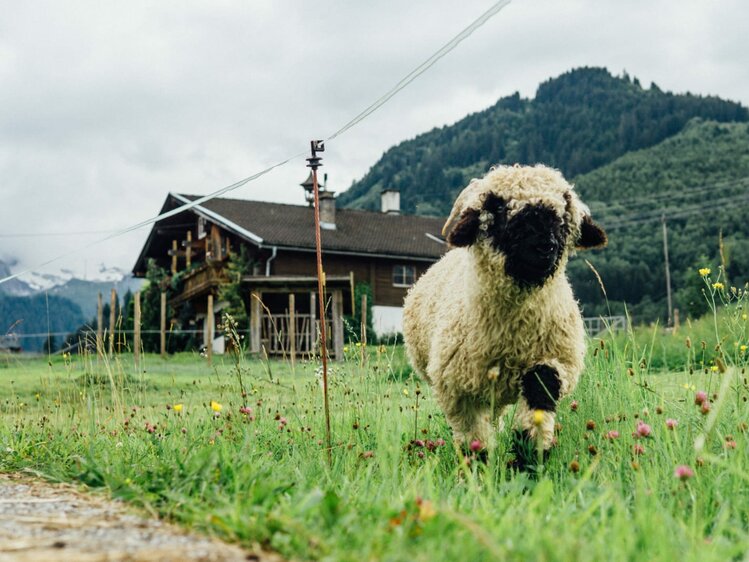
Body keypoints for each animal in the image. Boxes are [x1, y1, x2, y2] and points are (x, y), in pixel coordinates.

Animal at [400, 162, 604, 464]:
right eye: (496, 207)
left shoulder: (556, 359)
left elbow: (540, 393)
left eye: (564, 209)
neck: (512, 334)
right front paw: (480, 468)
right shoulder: (457, 388)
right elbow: (474, 439)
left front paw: (529, 458)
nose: (545, 246)